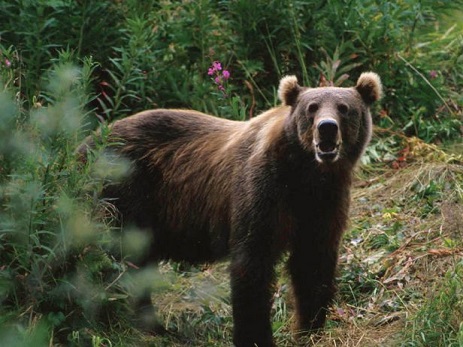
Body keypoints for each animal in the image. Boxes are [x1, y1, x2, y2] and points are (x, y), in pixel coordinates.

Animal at [80, 72, 384, 346]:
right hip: (124, 191)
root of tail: (86, 142)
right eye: (312, 107)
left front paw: (309, 329)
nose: (327, 127)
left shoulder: (323, 203)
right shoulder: (263, 191)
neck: (305, 174)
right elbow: (252, 263)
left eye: (344, 108)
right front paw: (256, 336)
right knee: (121, 258)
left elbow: (313, 261)